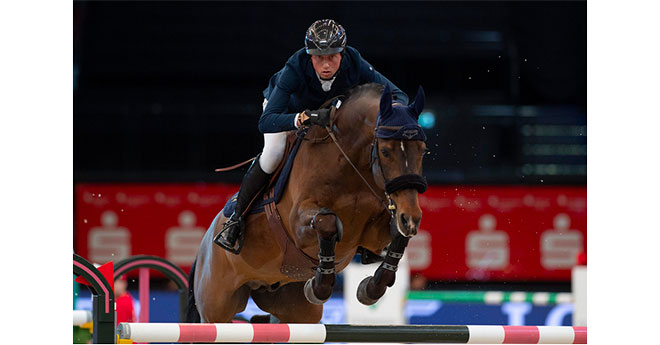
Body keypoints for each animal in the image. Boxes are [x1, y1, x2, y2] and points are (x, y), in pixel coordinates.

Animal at [188, 83, 430, 322]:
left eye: (422, 150)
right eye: (385, 151)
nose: (411, 218)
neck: (350, 167)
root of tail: (202, 248)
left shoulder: (372, 234)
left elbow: (397, 236)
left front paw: (370, 289)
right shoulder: (297, 226)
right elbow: (327, 223)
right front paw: (318, 287)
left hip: (296, 310)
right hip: (216, 308)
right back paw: (231, 232)